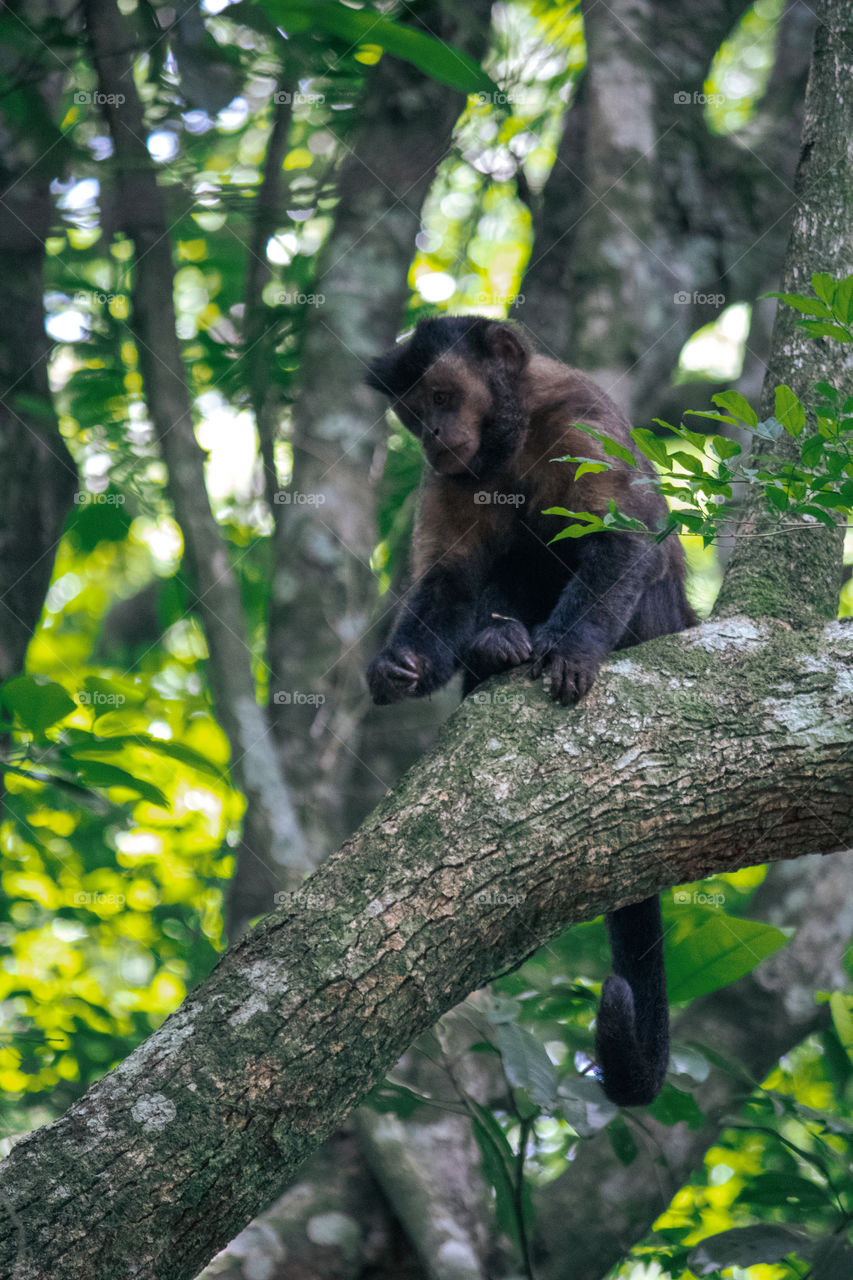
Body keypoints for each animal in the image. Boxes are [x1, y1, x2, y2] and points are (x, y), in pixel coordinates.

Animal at [361, 314, 696, 1105]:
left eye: (444, 396)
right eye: (412, 412)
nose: (432, 433)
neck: (506, 442)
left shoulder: (579, 416)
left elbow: (619, 534)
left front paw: (570, 652)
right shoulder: (451, 476)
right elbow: (450, 577)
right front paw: (402, 666)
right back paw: (495, 649)